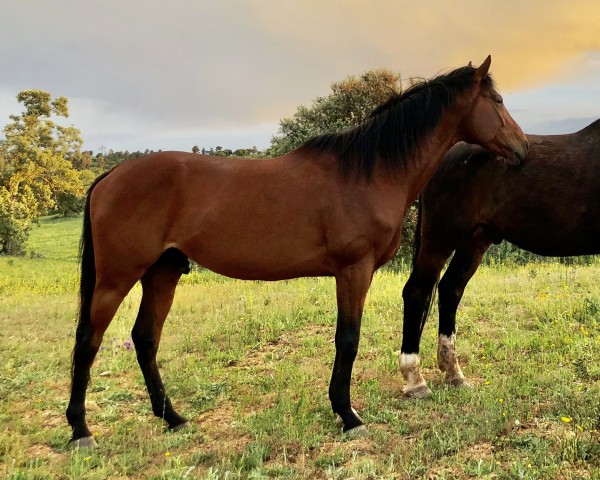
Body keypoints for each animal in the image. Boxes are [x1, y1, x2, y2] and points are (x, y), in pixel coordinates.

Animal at [63, 57, 528, 446]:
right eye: (498, 100)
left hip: (163, 272)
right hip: (117, 277)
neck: (369, 172)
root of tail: (111, 176)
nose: (523, 149)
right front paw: (348, 415)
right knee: (89, 340)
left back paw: (173, 418)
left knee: (145, 338)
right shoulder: (353, 270)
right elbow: (347, 339)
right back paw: (81, 430)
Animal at [398, 120, 600, 398]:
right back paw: (416, 380)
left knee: (450, 289)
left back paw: (454, 374)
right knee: (417, 291)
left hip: (475, 239)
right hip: (441, 237)